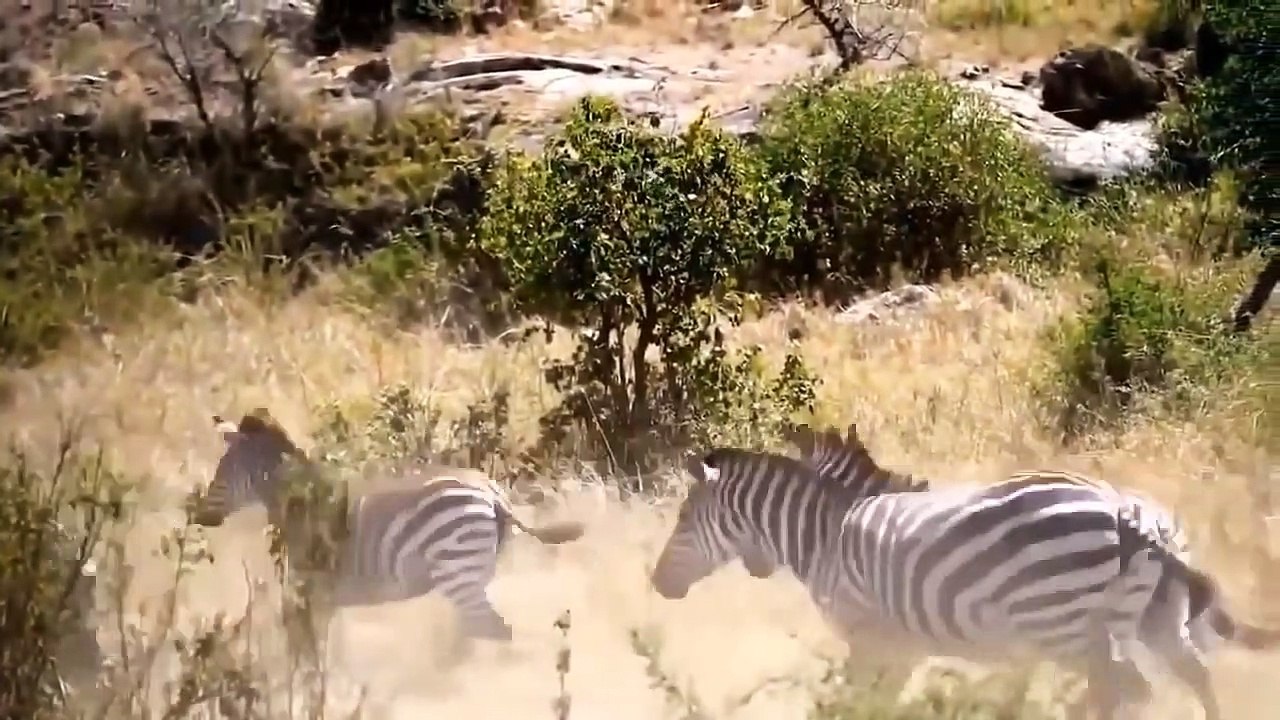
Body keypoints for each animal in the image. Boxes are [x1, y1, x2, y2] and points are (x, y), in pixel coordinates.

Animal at [187, 407, 586, 664]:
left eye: (222, 471)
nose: (200, 515)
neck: (300, 500)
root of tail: (493, 494)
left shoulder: (311, 586)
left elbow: (308, 648)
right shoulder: (323, 594)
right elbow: (323, 647)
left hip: (457, 571)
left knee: (496, 630)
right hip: (477, 574)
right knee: (477, 634)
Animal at [649, 444, 1280, 720]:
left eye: (682, 518)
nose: (656, 585)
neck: (823, 536)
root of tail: (1131, 514)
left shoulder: (869, 635)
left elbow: (857, 703)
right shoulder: (899, 646)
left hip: (1063, 624)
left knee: (1125, 689)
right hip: (1152, 617)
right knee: (1190, 676)